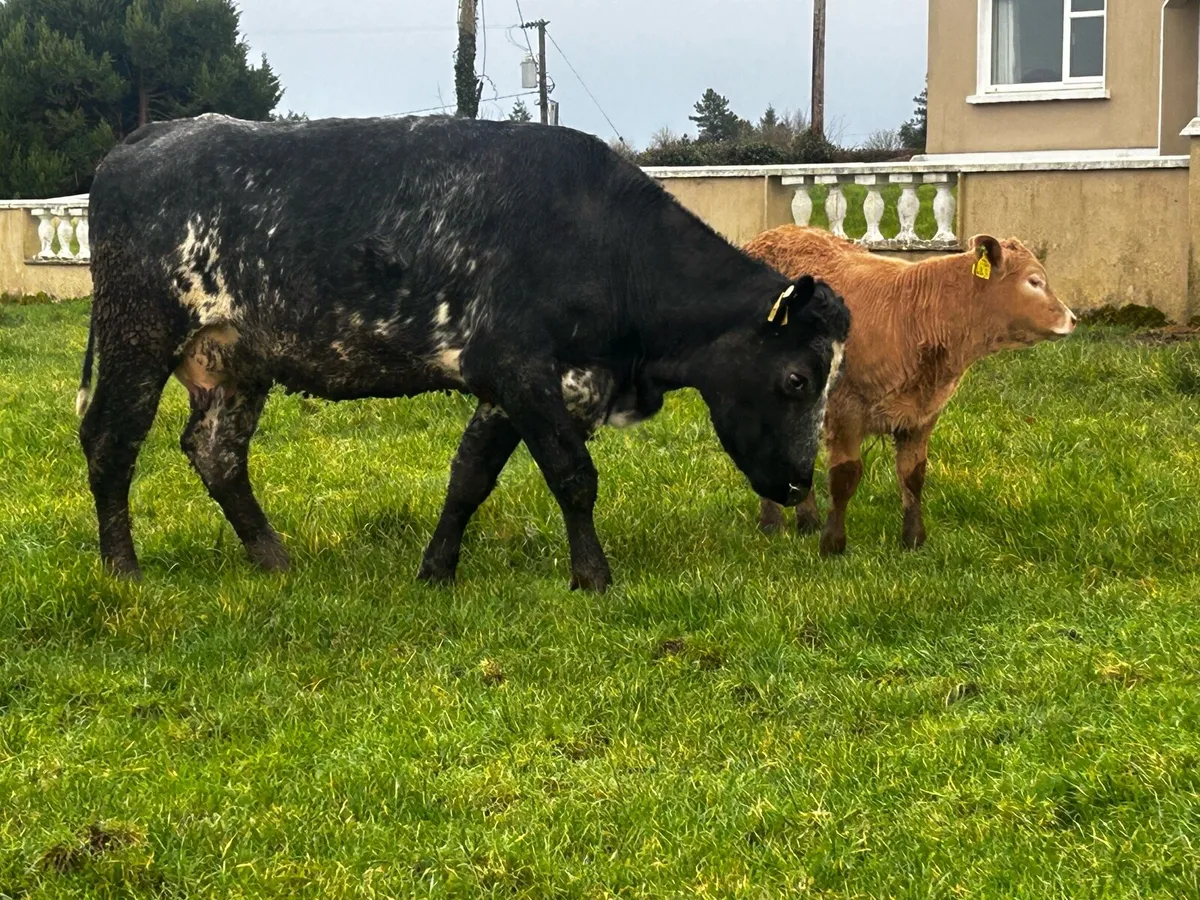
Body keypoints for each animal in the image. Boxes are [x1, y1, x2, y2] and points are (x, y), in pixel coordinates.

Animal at [78, 115, 850, 591]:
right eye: (797, 378)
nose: (796, 483)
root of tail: (150, 137)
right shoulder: (520, 368)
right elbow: (573, 475)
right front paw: (593, 576)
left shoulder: (511, 386)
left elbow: (469, 477)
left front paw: (436, 569)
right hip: (137, 334)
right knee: (111, 440)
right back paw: (123, 570)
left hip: (236, 359)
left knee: (217, 451)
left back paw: (272, 558)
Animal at [748, 226, 1076, 556]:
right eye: (1034, 281)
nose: (1072, 319)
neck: (914, 315)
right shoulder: (846, 409)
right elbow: (844, 476)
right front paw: (833, 545)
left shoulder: (922, 414)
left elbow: (912, 475)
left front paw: (913, 539)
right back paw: (772, 522)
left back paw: (807, 520)